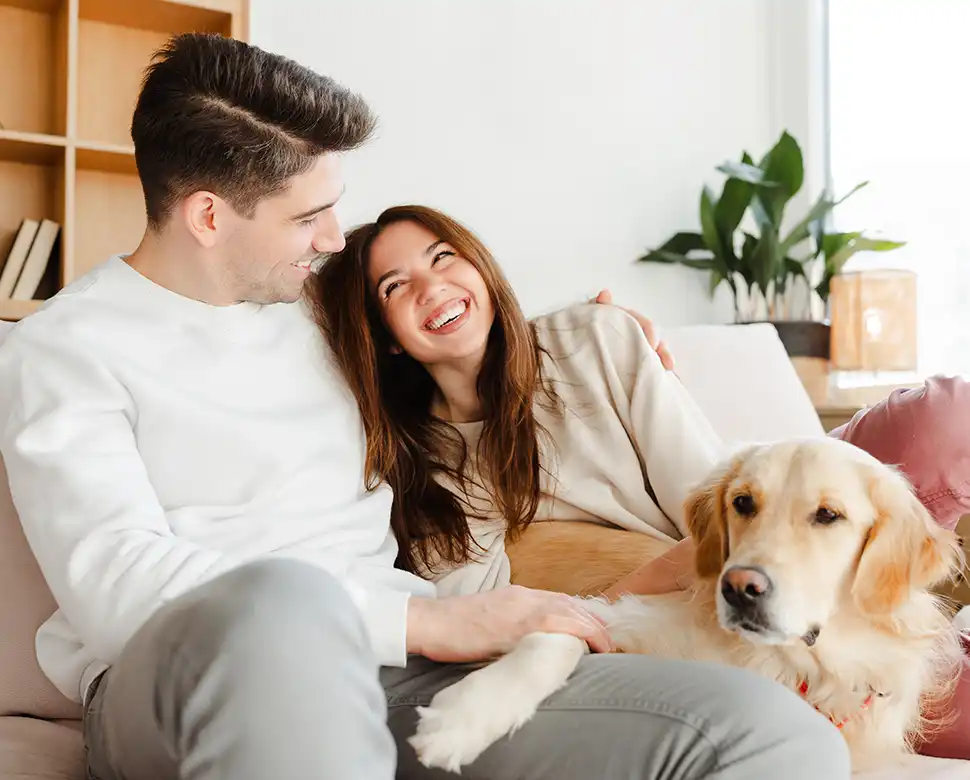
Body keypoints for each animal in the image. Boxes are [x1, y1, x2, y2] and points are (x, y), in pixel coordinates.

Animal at [404, 438, 964, 772]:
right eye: (742, 502)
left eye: (828, 515)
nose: (739, 587)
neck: (786, 663)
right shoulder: (616, 615)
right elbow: (552, 635)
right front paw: (467, 715)